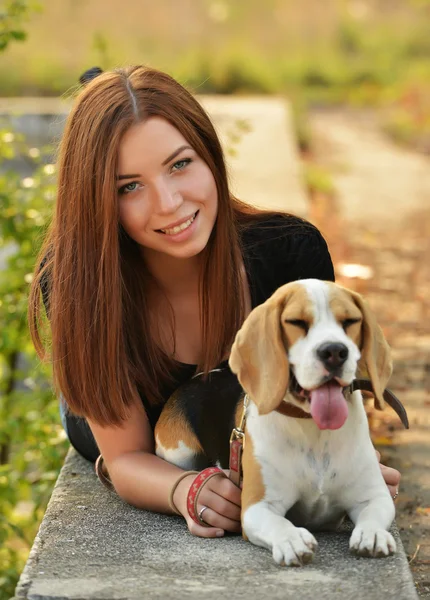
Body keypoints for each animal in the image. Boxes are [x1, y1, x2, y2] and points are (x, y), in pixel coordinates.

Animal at [155, 278, 396, 564]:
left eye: (350, 321)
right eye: (296, 322)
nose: (335, 351)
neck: (313, 428)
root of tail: (199, 377)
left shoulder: (374, 495)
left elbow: (373, 513)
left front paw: (373, 534)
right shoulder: (257, 507)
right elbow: (278, 523)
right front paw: (291, 540)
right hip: (179, 452)